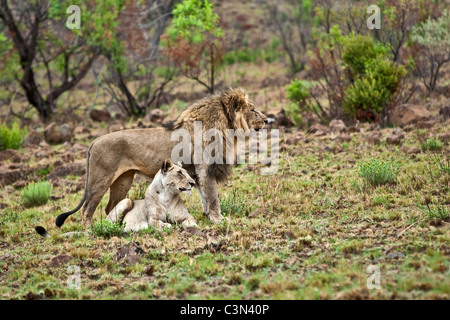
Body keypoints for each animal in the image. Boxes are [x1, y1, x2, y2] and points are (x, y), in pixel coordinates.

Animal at [55, 87, 268, 228]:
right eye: (253, 109)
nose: (267, 120)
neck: (227, 128)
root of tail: (93, 142)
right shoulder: (205, 170)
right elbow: (213, 198)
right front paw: (219, 220)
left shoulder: (197, 175)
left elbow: (205, 199)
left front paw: (209, 218)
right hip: (100, 180)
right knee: (87, 209)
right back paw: (91, 232)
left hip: (123, 180)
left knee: (110, 208)